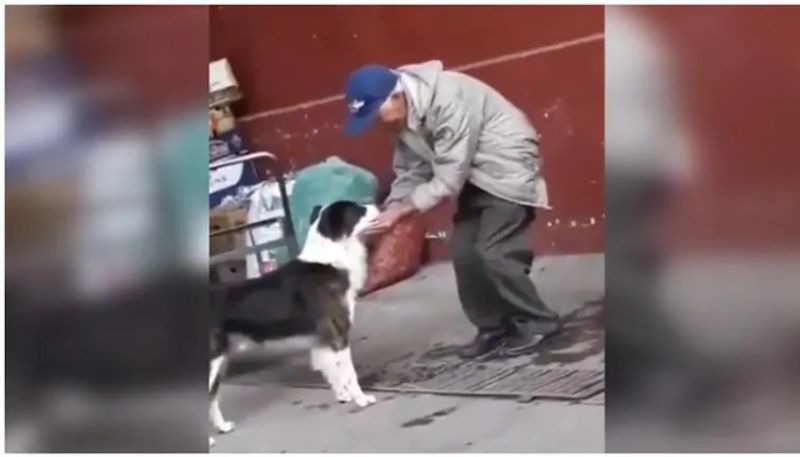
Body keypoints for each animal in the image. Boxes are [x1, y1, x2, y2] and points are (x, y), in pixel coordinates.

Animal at [209, 201, 378, 444]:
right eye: (357, 210)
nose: (375, 204)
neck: (330, 257)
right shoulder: (339, 334)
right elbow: (349, 374)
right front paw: (361, 399)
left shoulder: (323, 340)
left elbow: (331, 372)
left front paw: (342, 396)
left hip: (220, 361)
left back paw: (221, 427)